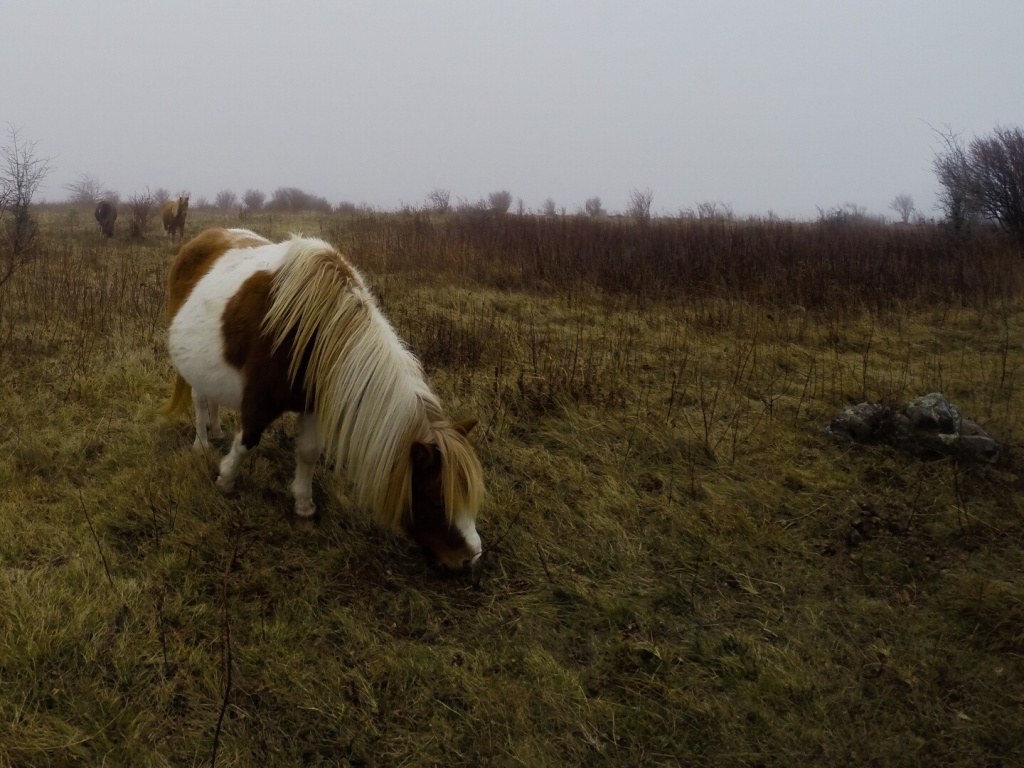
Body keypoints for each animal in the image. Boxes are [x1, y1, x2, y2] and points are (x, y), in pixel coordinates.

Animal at [165, 228, 485, 573]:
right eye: (438, 501)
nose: (471, 557)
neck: (312, 328)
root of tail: (203, 237)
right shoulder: (259, 402)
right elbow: (247, 441)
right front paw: (225, 479)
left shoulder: (314, 405)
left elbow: (308, 452)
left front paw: (304, 506)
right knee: (200, 400)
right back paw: (202, 442)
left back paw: (215, 430)